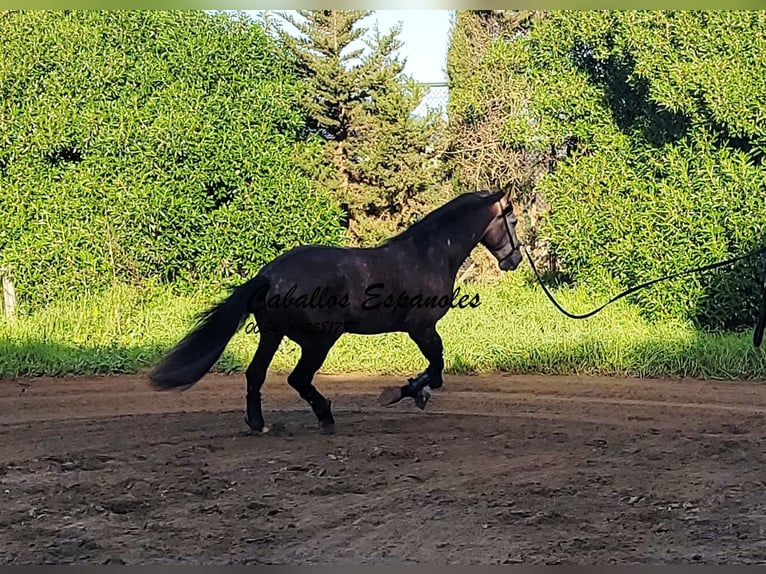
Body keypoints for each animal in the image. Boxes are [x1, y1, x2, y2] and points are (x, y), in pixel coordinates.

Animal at [148, 191, 524, 434]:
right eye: (513, 218)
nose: (516, 259)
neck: (429, 254)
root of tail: (268, 275)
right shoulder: (422, 328)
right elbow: (436, 367)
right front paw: (401, 393)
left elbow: (437, 371)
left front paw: (416, 393)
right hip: (319, 341)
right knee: (297, 379)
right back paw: (325, 416)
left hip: (272, 334)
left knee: (255, 374)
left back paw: (259, 424)